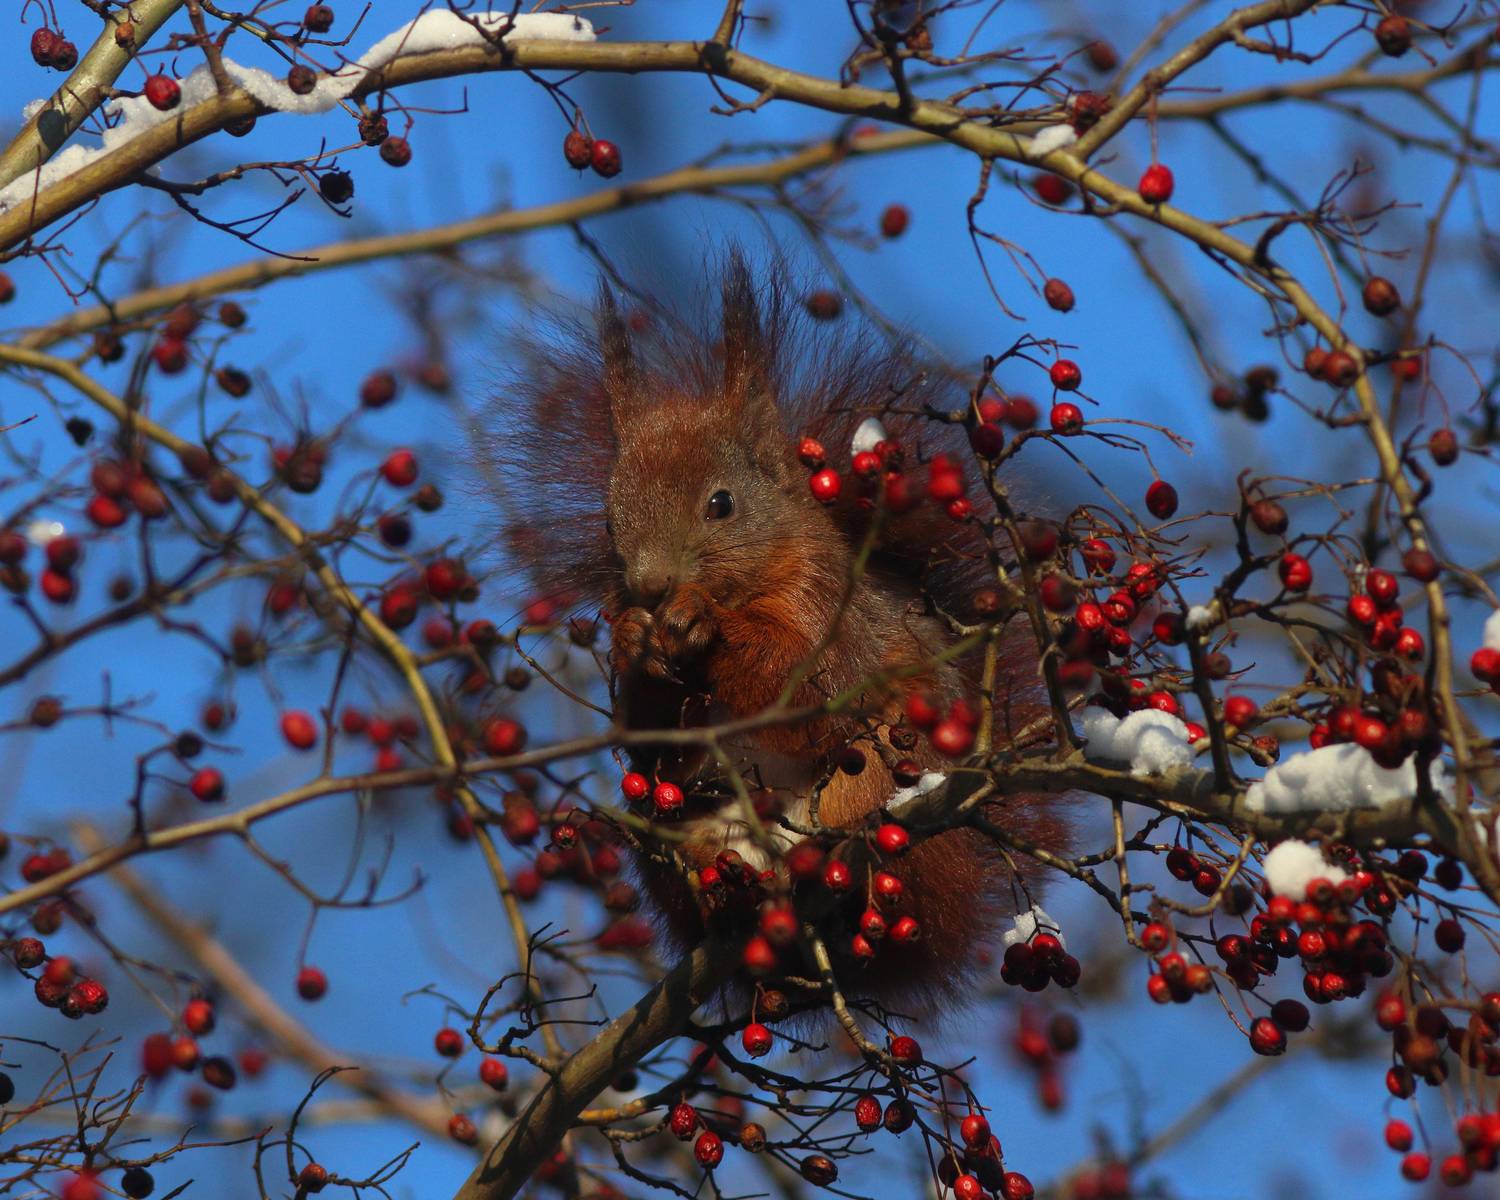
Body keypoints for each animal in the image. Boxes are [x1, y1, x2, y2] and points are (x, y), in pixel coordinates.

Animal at [497, 253, 1065, 1014]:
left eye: (721, 504)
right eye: (610, 522)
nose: (650, 587)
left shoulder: (830, 607)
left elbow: (816, 689)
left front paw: (706, 626)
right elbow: (657, 750)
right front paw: (637, 644)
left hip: (879, 777)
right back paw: (730, 900)